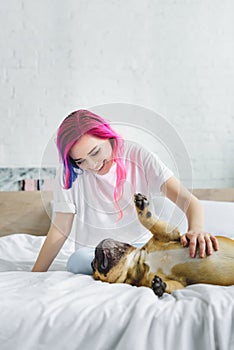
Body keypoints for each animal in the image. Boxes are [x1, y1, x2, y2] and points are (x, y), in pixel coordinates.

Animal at [91, 193, 234, 296]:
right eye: (93, 266)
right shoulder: (177, 283)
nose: (94, 253)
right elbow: (172, 286)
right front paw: (160, 287)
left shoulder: (167, 234)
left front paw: (142, 207)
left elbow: (149, 222)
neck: (139, 262)